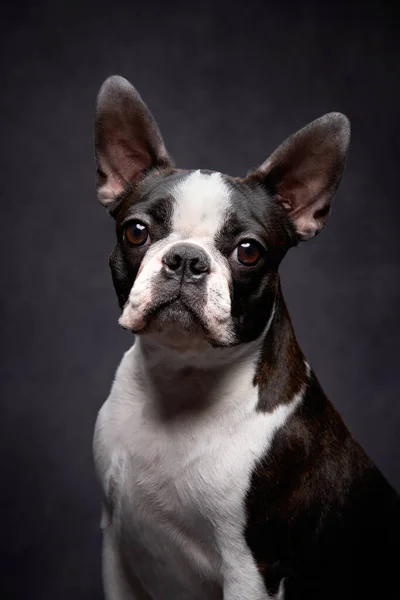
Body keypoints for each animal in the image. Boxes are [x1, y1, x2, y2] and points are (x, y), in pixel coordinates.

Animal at [93, 76, 400, 600]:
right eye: (136, 232)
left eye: (248, 251)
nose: (186, 259)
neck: (181, 380)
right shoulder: (117, 545)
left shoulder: (251, 570)